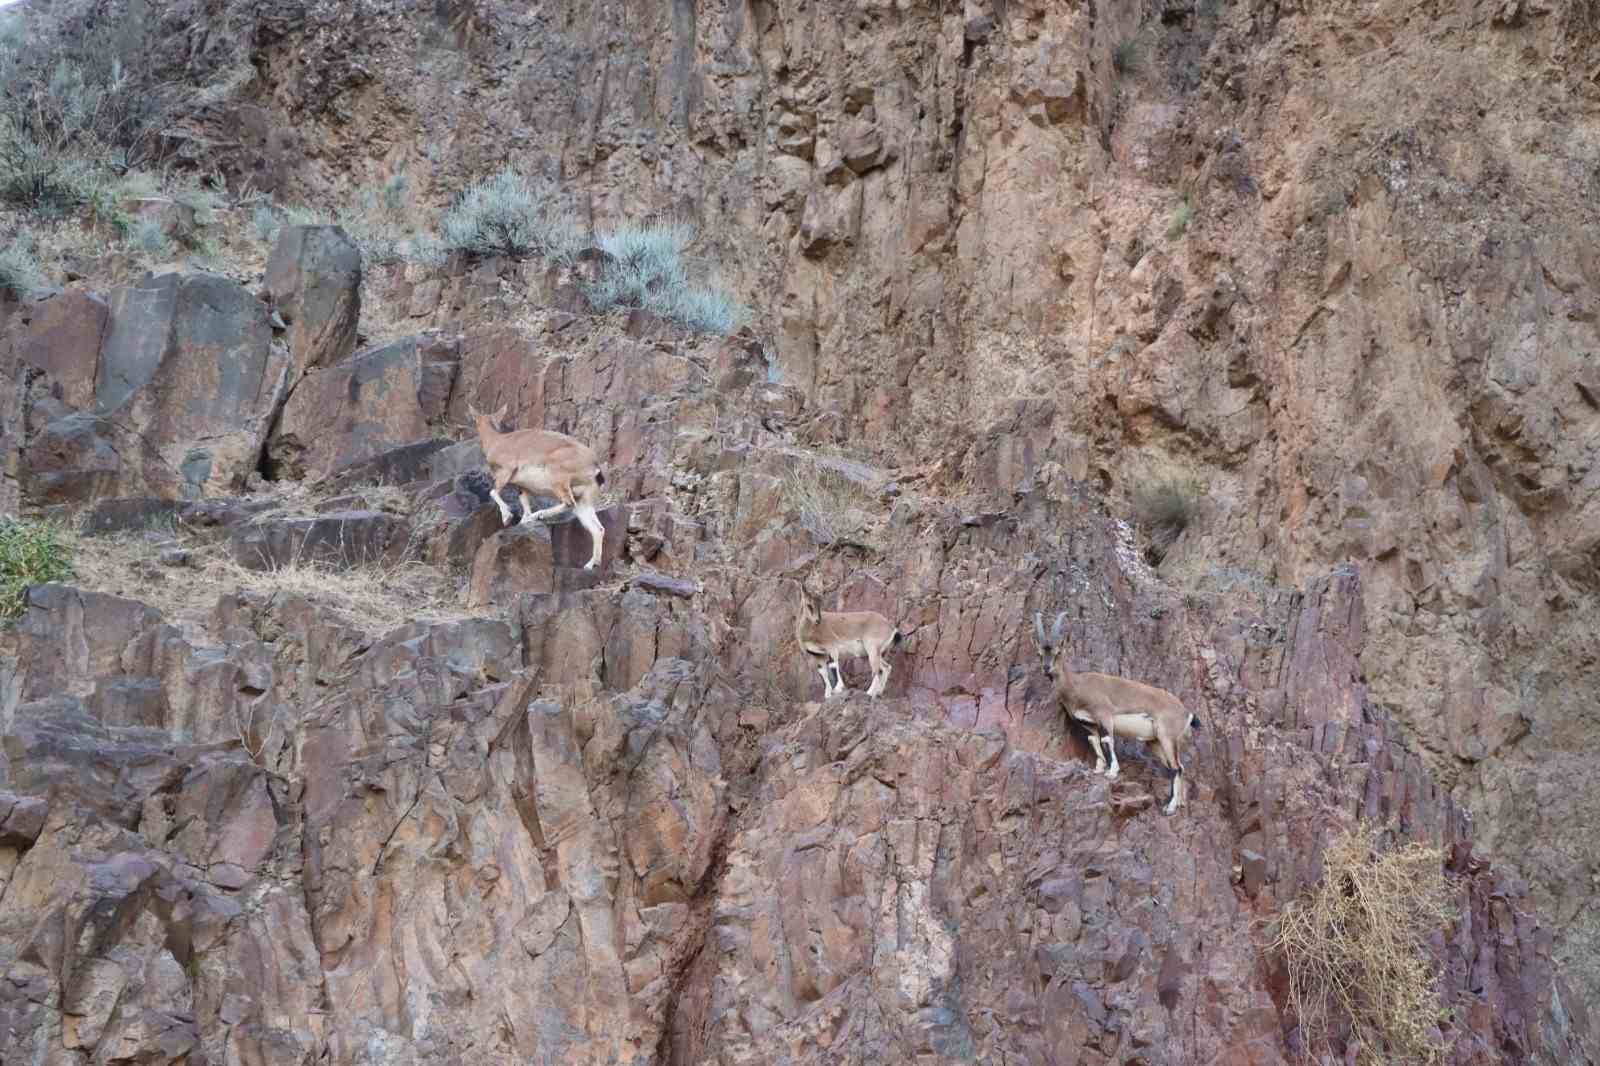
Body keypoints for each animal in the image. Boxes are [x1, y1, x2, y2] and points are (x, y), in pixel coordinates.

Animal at [470, 398, 608, 569]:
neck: (497, 441)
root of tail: (595, 467)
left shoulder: (506, 471)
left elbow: (493, 492)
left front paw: (507, 517)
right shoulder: (522, 487)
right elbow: (524, 504)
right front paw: (523, 521)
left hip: (558, 479)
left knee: (568, 503)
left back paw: (539, 515)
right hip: (584, 500)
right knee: (597, 528)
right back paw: (590, 565)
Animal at [1036, 611, 1203, 809]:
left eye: (1058, 652)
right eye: (1039, 653)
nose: (1046, 668)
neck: (1077, 686)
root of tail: (1186, 713)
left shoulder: (1104, 715)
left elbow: (1107, 739)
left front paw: (1112, 771)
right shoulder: (1090, 723)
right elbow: (1094, 740)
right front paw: (1099, 768)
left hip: (1167, 736)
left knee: (1176, 768)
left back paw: (1169, 808)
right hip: (1155, 742)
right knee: (1177, 766)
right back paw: (1180, 803)